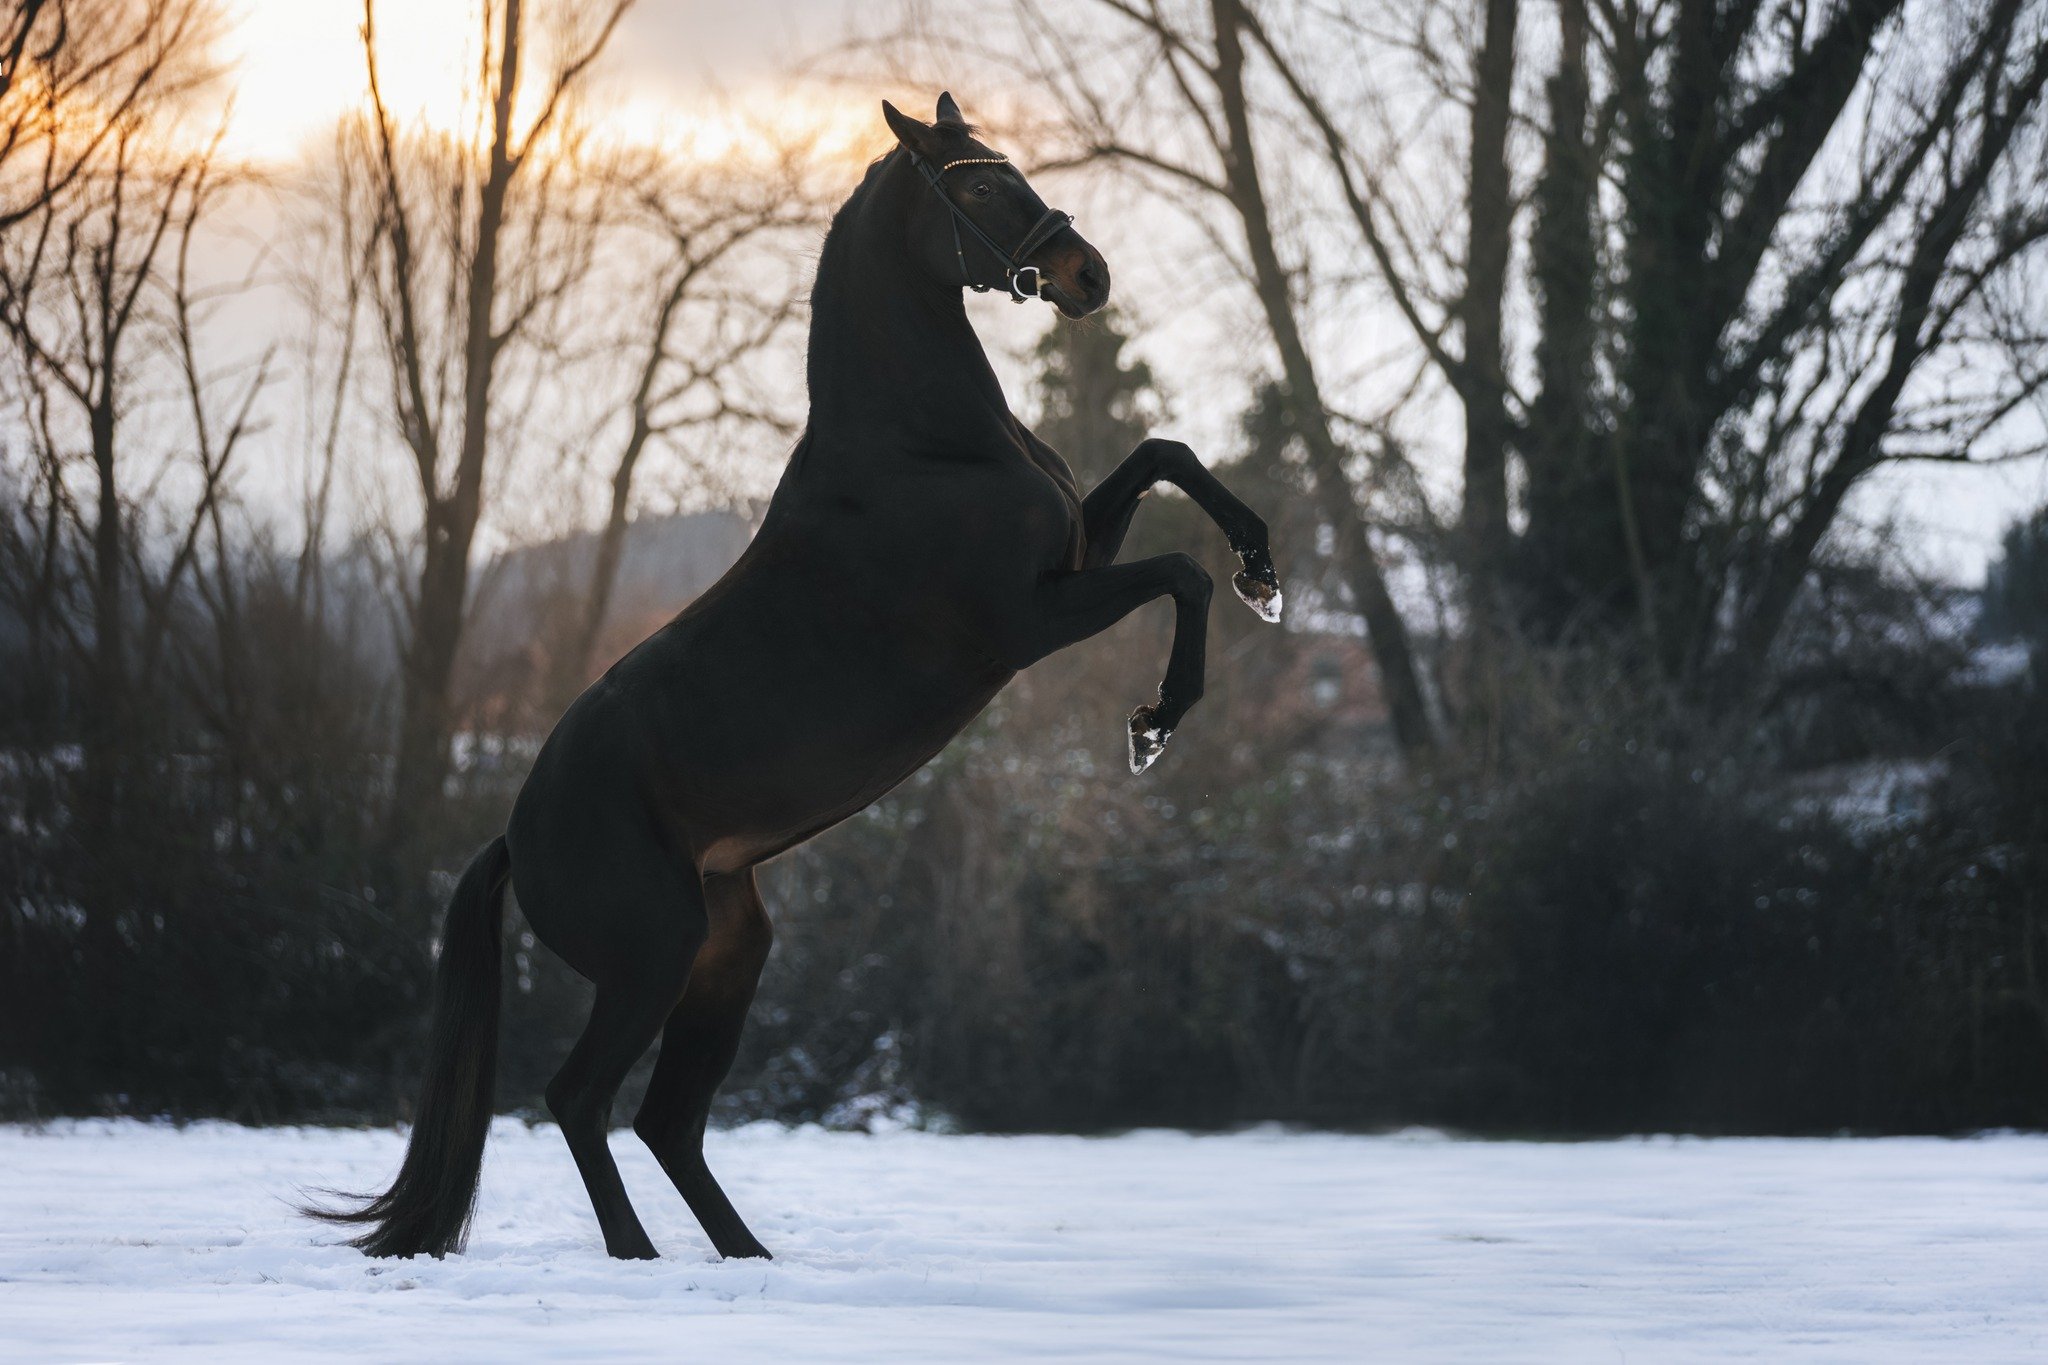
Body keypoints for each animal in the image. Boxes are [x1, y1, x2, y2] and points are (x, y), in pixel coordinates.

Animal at [307, 92, 1282, 1263]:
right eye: (976, 183)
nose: (1087, 274)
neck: (922, 445)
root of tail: (513, 833)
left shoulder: (1076, 555)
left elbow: (1164, 454)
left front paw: (1263, 567)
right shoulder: (1030, 619)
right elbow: (1180, 572)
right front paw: (1156, 719)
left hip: (730, 954)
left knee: (666, 1121)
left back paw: (747, 1260)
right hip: (653, 956)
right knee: (581, 1100)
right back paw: (643, 1260)